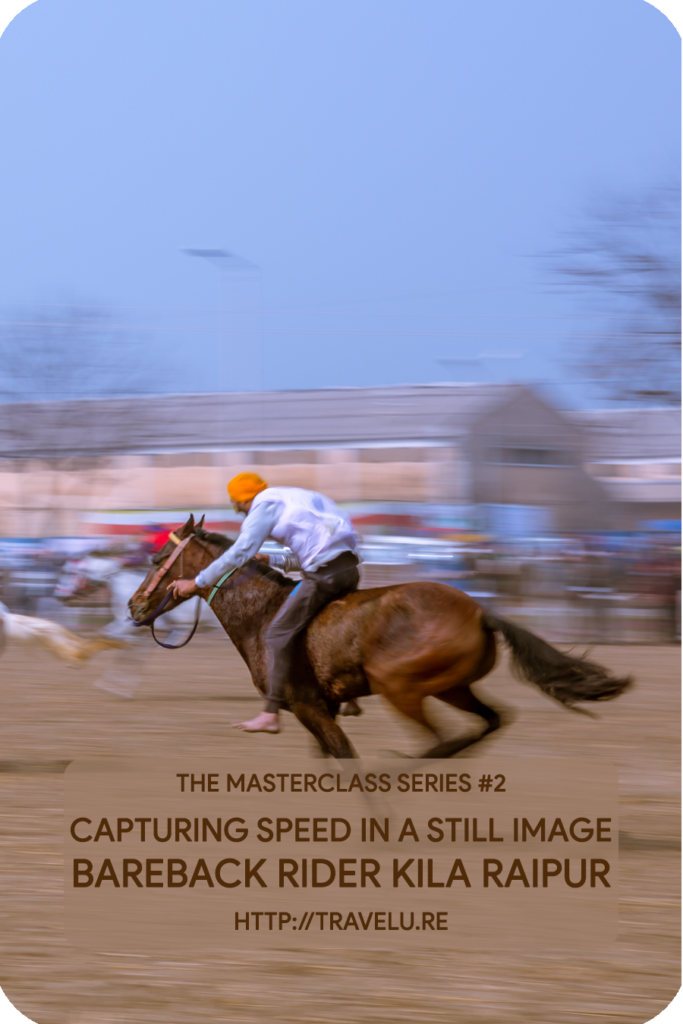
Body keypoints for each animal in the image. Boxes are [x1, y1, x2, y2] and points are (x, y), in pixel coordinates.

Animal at [126, 512, 630, 761]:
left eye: (157, 560)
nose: (133, 606)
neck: (262, 615)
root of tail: (480, 611)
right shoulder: (324, 709)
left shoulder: (309, 706)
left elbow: (344, 756)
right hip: (453, 687)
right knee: (488, 722)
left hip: (401, 688)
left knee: (438, 740)